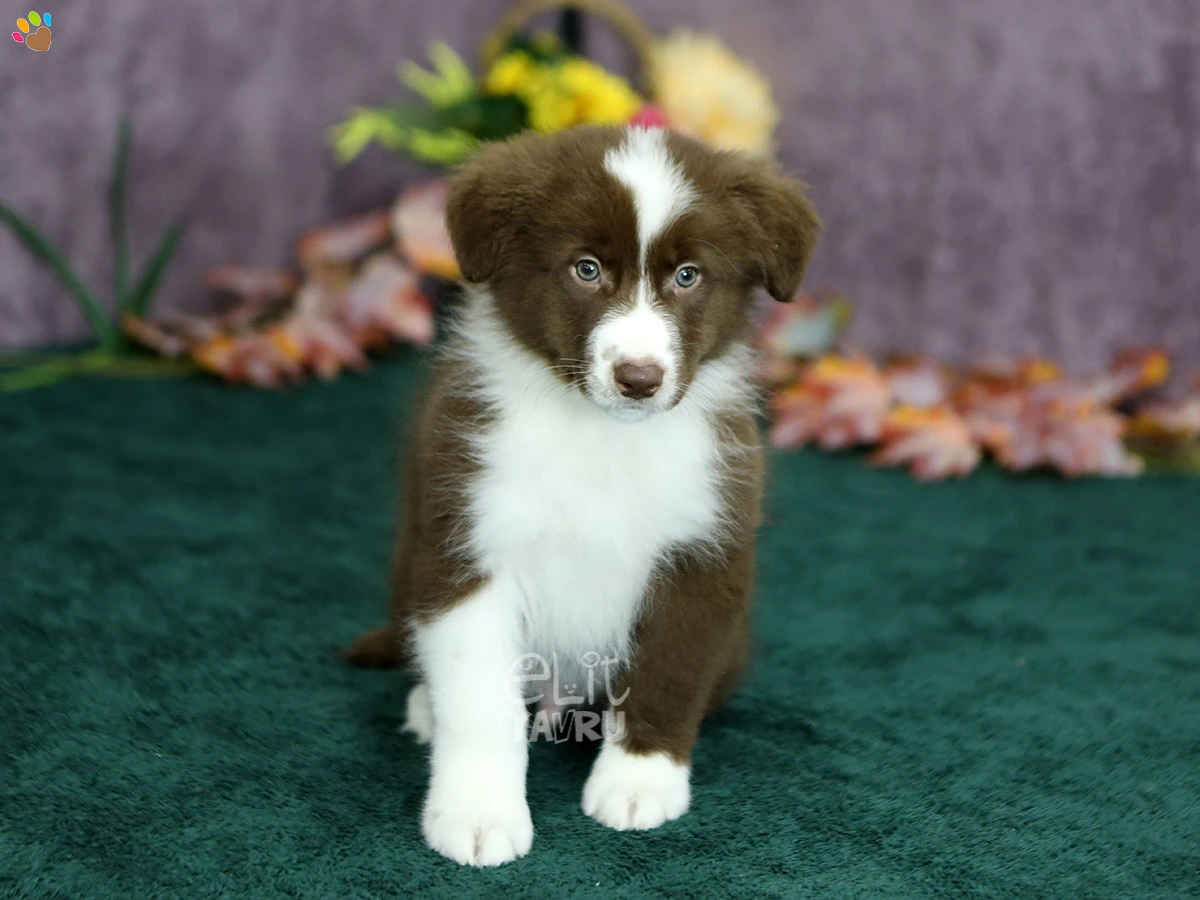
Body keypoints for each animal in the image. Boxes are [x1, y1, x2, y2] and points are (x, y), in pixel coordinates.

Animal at [343, 125, 820, 868]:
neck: (602, 439)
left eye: (688, 276)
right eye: (586, 269)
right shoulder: (467, 540)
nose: (639, 378)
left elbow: (669, 671)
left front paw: (638, 782)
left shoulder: (704, 546)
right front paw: (477, 814)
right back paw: (425, 705)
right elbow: (479, 698)